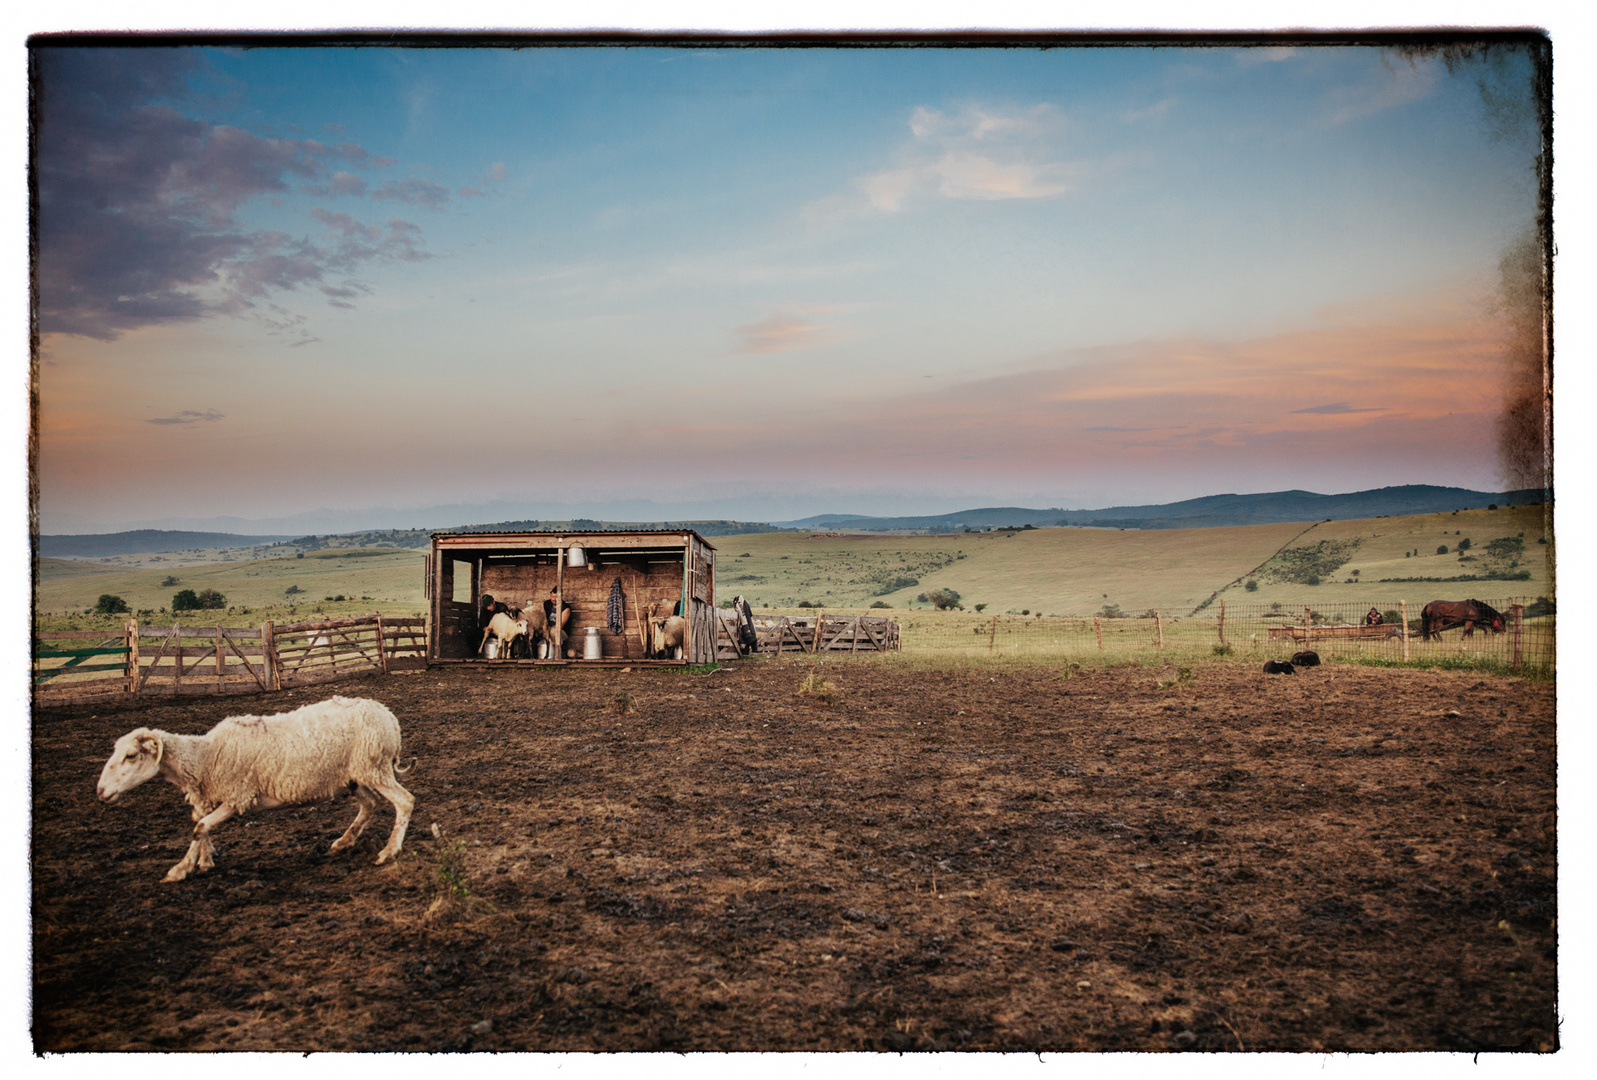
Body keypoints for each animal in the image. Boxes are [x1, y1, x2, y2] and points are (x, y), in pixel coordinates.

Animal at [94, 696, 415, 881]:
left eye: (131, 756)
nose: (100, 791)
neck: (204, 757)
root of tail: (390, 716)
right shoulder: (213, 796)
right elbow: (200, 824)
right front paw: (205, 859)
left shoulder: (237, 796)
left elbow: (199, 827)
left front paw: (180, 869)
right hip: (352, 776)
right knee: (370, 804)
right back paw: (343, 842)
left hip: (373, 766)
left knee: (405, 801)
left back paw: (389, 852)